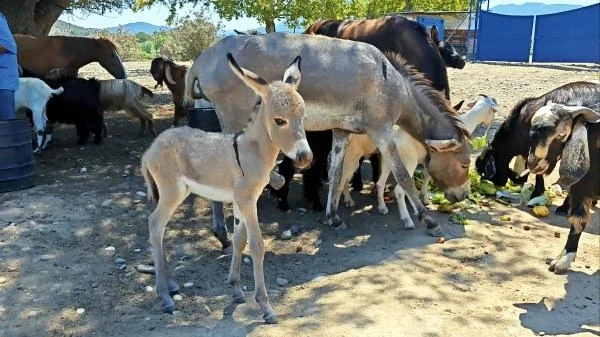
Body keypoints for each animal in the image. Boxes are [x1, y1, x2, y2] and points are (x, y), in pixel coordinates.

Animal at [141, 53, 310, 322]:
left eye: (303, 118)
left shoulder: (242, 202)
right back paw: (164, 295)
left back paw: (170, 285)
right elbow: (257, 246)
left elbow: (239, 241)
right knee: (155, 224)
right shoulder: (247, 201)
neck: (252, 151)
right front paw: (265, 306)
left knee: (160, 228)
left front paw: (236, 289)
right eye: (279, 121)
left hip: (179, 192)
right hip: (171, 193)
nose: (305, 157)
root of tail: (150, 149)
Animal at [340, 94, 500, 228]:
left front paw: (420, 198)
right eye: (493, 112)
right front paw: (425, 199)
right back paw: (407, 220)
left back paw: (382, 207)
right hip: (399, 160)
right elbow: (428, 177)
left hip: (387, 160)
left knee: (379, 183)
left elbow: (423, 178)